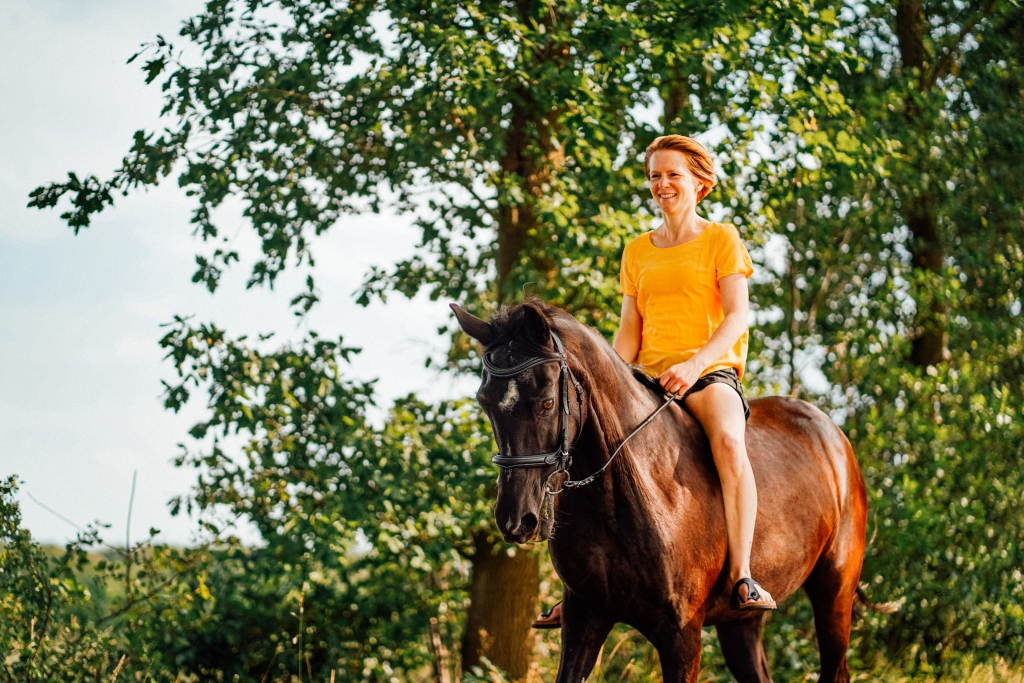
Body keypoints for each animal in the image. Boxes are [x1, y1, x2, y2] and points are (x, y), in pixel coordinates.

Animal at [452, 299, 876, 683]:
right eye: (485, 403)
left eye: (546, 402)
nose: (516, 520)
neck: (622, 499)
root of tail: (832, 434)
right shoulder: (584, 618)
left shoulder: (681, 638)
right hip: (741, 622)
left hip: (834, 593)